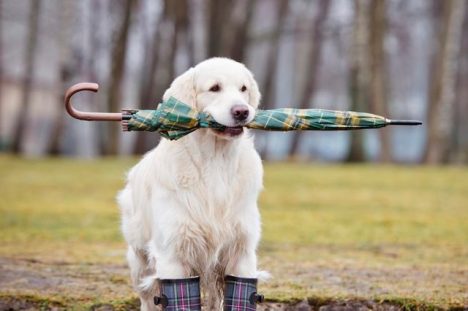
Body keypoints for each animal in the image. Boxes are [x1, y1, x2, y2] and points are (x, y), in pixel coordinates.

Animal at [119, 58, 266, 310]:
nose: (242, 111)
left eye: (243, 88)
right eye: (215, 88)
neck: (215, 160)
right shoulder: (173, 253)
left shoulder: (242, 251)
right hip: (139, 259)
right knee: (147, 298)